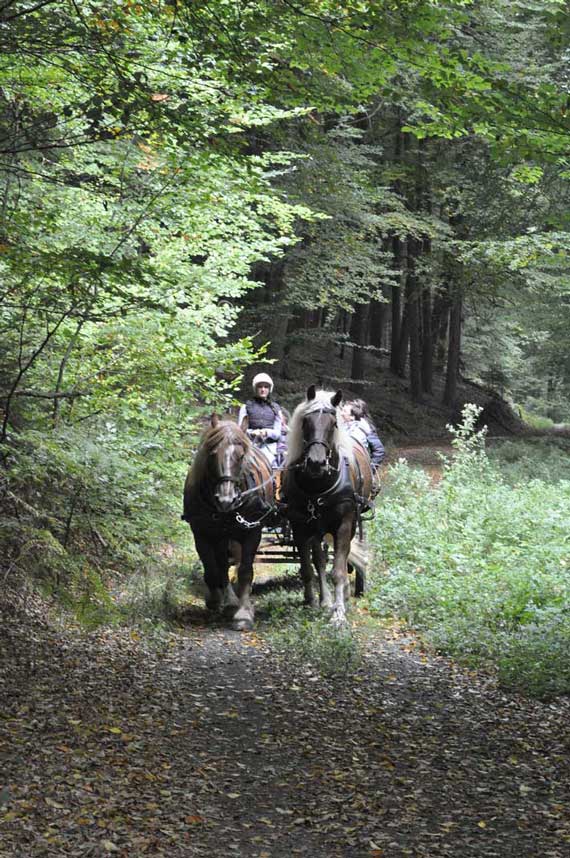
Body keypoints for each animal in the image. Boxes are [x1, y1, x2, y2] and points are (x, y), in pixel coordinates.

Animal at [180, 414, 272, 628]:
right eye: (213, 454)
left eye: (242, 456)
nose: (226, 499)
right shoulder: (201, 532)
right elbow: (212, 568)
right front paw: (215, 599)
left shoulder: (253, 531)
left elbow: (245, 570)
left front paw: (244, 613)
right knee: (221, 565)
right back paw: (228, 601)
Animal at [280, 386, 372, 620]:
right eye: (306, 422)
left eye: (333, 424)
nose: (316, 463)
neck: (318, 486)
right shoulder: (301, 527)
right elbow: (309, 567)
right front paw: (312, 601)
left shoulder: (344, 524)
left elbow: (338, 569)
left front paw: (338, 612)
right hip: (317, 528)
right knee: (320, 560)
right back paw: (324, 599)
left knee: (345, 556)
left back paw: (345, 594)